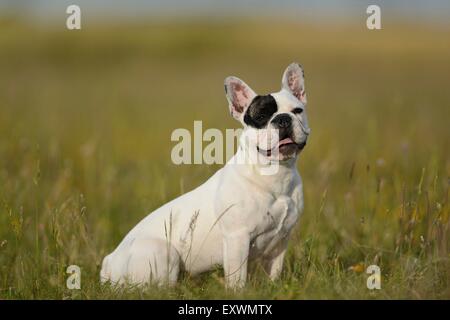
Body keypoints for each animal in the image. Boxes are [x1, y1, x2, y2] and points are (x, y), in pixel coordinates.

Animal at [99, 63, 310, 288]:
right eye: (261, 117)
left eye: (297, 111)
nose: (283, 119)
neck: (276, 173)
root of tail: (109, 262)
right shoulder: (237, 238)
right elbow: (237, 279)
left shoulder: (280, 242)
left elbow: (274, 273)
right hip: (164, 252)